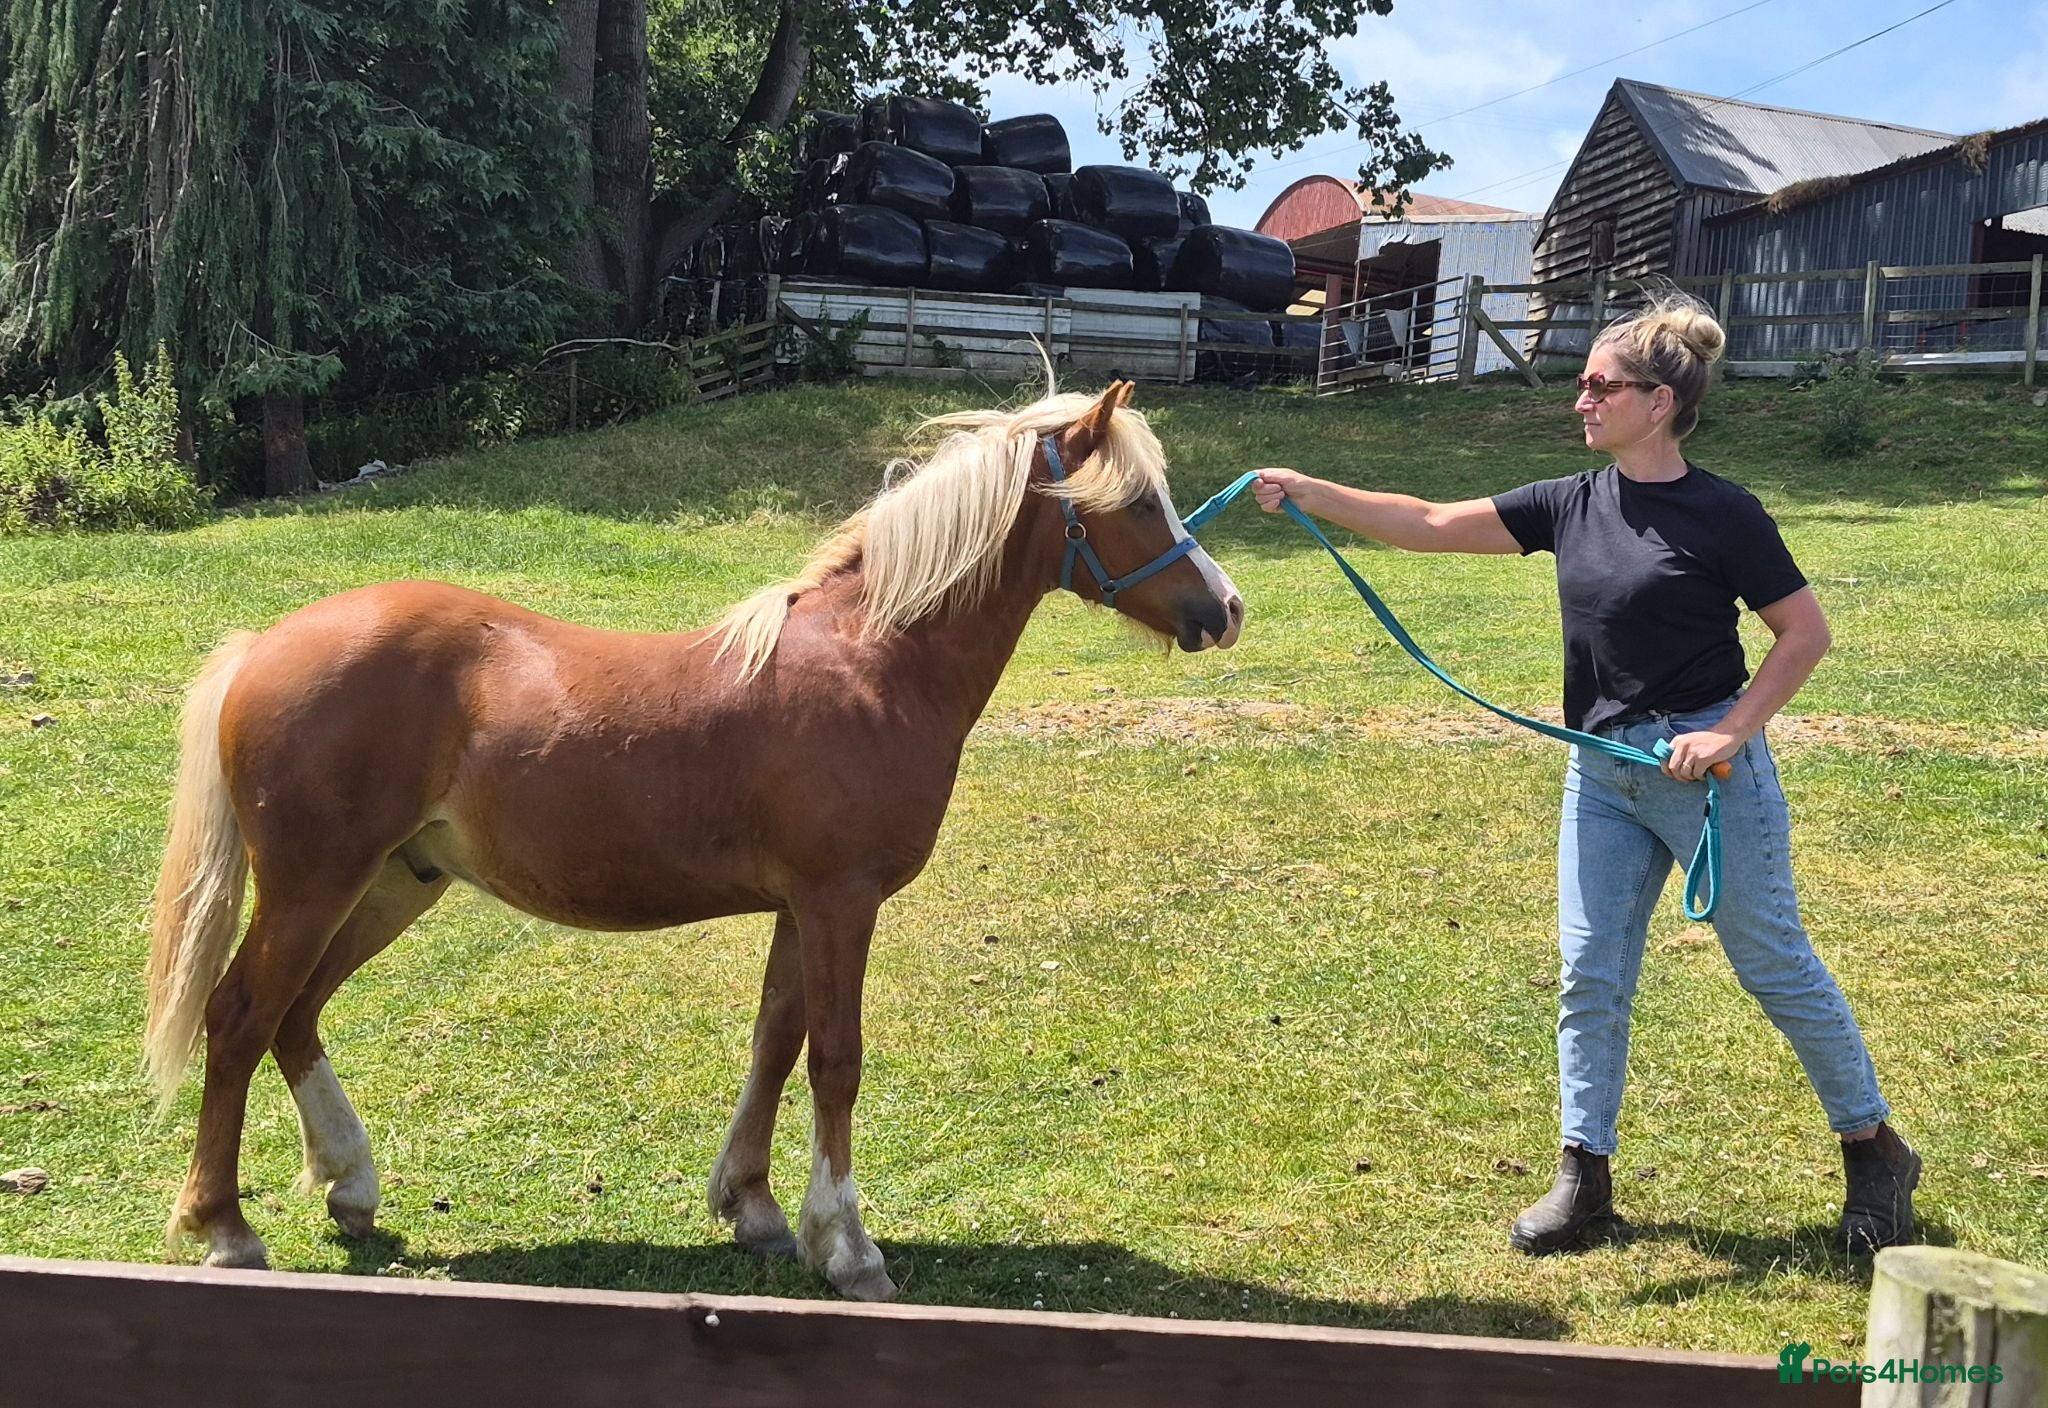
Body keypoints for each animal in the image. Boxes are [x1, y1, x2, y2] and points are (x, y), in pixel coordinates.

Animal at [144, 379, 1244, 1300]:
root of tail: (265, 644)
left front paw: (755, 1210)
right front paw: (848, 1247)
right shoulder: (840, 900)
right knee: (239, 1017)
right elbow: (834, 1059)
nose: (1223, 609)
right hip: (312, 885)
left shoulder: (802, 907)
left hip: (392, 883)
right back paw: (226, 1228)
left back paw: (351, 1186)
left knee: (295, 1016)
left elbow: (775, 1042)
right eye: (1137, 501)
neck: (873, 662)